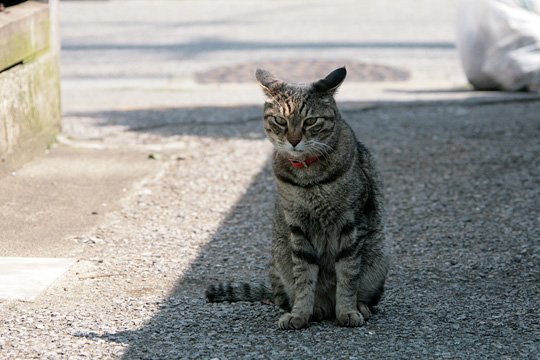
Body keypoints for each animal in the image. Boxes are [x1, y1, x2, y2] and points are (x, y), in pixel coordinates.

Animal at [206, 67, 388, 330]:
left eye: (310, 121)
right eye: (280, 121)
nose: (293, 140)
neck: (308, 178)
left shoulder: (351, 224)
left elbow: (348, 275)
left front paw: (347, 311)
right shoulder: (297, 228)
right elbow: (304, 277)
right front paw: (301, 313)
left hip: (379, 257)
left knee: (365, 293)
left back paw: (358, 307)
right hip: (278, 257)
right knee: (284, 297)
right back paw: (317, 308)